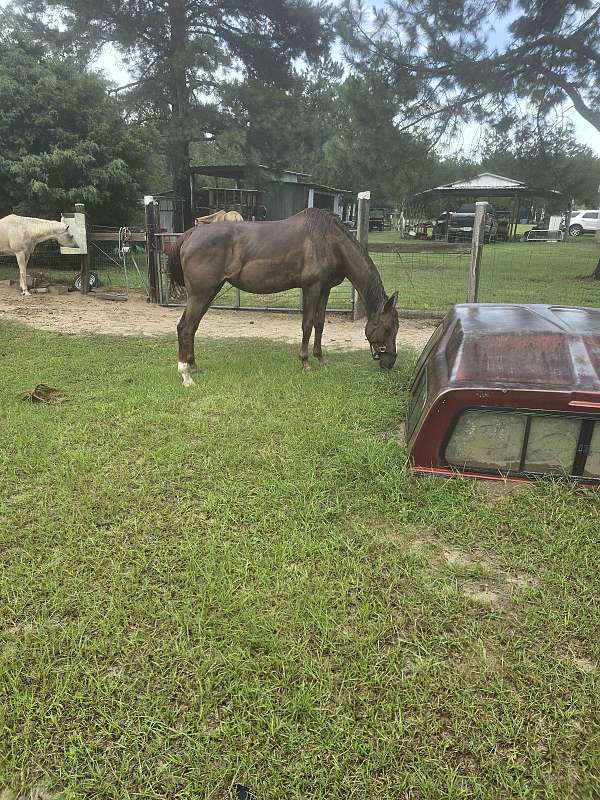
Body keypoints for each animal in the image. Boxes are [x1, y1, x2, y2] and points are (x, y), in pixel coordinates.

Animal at [168, 208, 399, 386]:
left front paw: (320, 358)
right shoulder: (312, 288)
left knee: (191, 327)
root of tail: (191, 234)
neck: (329, 242)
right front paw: (305, 362)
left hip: (209, 292)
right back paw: (185, 375)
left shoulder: (324, 289)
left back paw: (193, 366)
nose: (390, 362)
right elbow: (307, 324)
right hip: (200, 295)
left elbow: (320, 323)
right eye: (387, 328)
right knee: (186, 328)